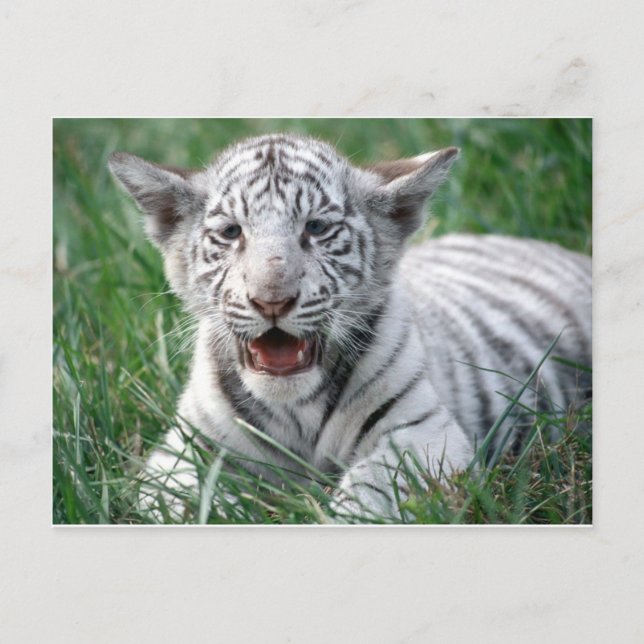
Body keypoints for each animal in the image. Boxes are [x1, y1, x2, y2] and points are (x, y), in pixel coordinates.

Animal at [108, 133, 591, 523]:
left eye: (316, 228)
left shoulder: (426, 433)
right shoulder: (183, 450)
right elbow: (180, 503)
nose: (271, 300)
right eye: (231, 232)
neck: (295, 410)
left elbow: (373, 487)